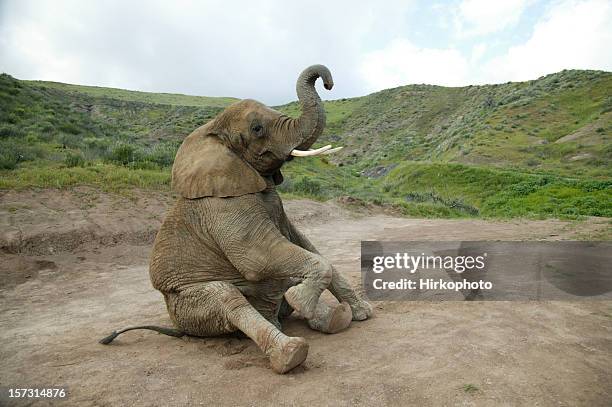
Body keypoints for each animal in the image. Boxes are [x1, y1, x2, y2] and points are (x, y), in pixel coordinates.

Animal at [99, 65, 372, 374]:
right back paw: (291, 352)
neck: (211, 131)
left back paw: (334, 318)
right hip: (189, 307)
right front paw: (301, 300)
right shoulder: (223, 205)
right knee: (227, 298)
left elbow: (305, 245)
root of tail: (179, 328)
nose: (328, 83)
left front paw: (362, 313)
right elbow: (257, 257)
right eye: (257, 129)